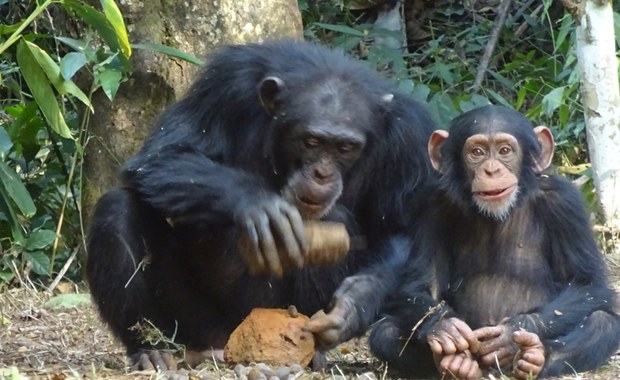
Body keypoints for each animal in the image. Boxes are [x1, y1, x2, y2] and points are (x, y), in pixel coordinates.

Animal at [86, 40, 436, 370]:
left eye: (345, 147)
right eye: (311, 141)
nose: (322, 174)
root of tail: (225, 344)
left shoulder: (408, 136)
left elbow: (400, 230)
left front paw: (353, 305)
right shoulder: (225, 84)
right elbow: (163, 156)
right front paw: (257, 205)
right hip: (193, 323)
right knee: (116, 210)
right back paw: (150, 349)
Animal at [368, 104, 620, 380]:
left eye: (504, 151)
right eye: (477, 152)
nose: (491, 170)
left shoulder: (565, 203)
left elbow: (587, 282)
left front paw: (510, 334)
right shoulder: (431, 204)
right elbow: (422, 284)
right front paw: (445, 326)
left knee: (602, 322)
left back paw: (534, 357)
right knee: (385, 332)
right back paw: (455, 364)